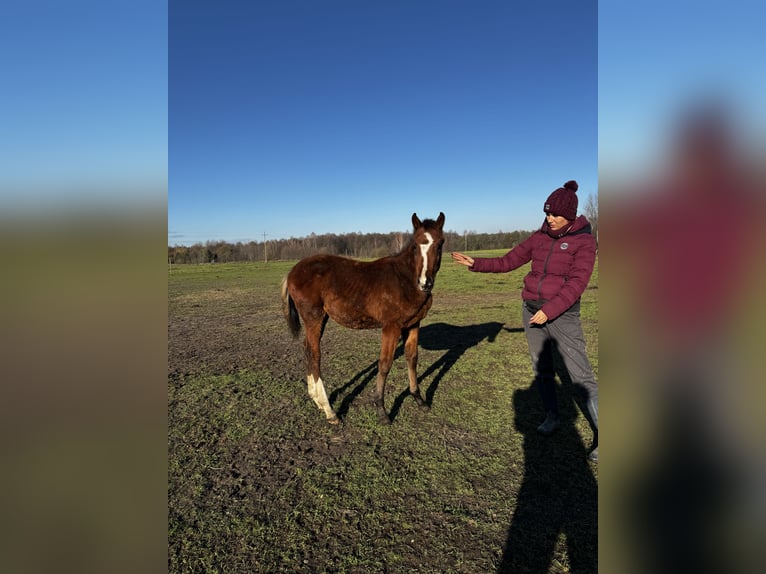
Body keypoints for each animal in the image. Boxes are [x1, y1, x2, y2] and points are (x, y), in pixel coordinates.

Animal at [282, 214, 448, 426]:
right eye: (415, 245)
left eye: (440, 244)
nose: (425, 283)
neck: (405, 280)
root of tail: (292, 273)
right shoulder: (391, 326)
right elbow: (384, 364)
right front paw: (381, 410)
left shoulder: (412, 324)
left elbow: (412, 358)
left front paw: (419, 399)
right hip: (314, 317)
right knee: (315, 354)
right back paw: (330, 411)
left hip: (321, 318)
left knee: (307, 350)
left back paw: (316, 399)